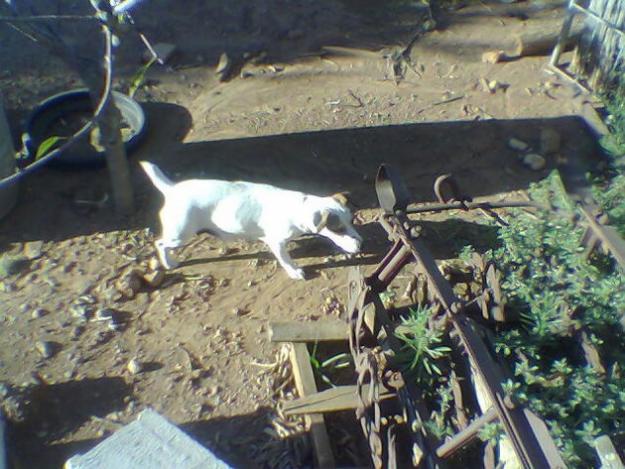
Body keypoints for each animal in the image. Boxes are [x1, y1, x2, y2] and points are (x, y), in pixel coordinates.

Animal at [140, 161, 360, 278]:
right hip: (180, 234)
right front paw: (294, 271)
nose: (360, 244)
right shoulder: (276, 242)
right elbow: (285, 259)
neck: (301, 207)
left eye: (352, 221)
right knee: (160, 244)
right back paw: (169, 263)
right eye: (338, 229)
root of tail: (171, 189)